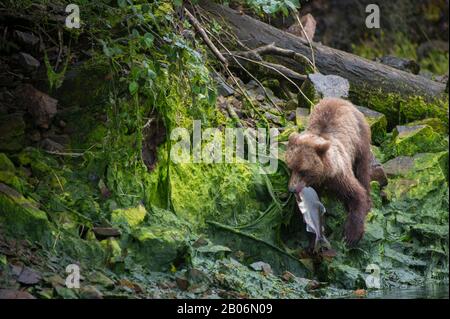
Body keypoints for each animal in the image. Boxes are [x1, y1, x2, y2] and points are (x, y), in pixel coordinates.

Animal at [286, 97, 370, 248]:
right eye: (290, 167)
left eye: (303, 170)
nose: (292, 189)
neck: (323, 175)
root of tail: (343, 100)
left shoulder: (339, 175)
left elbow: (356, 194)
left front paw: (351, 236)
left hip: (360, 137)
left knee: (363, 169)